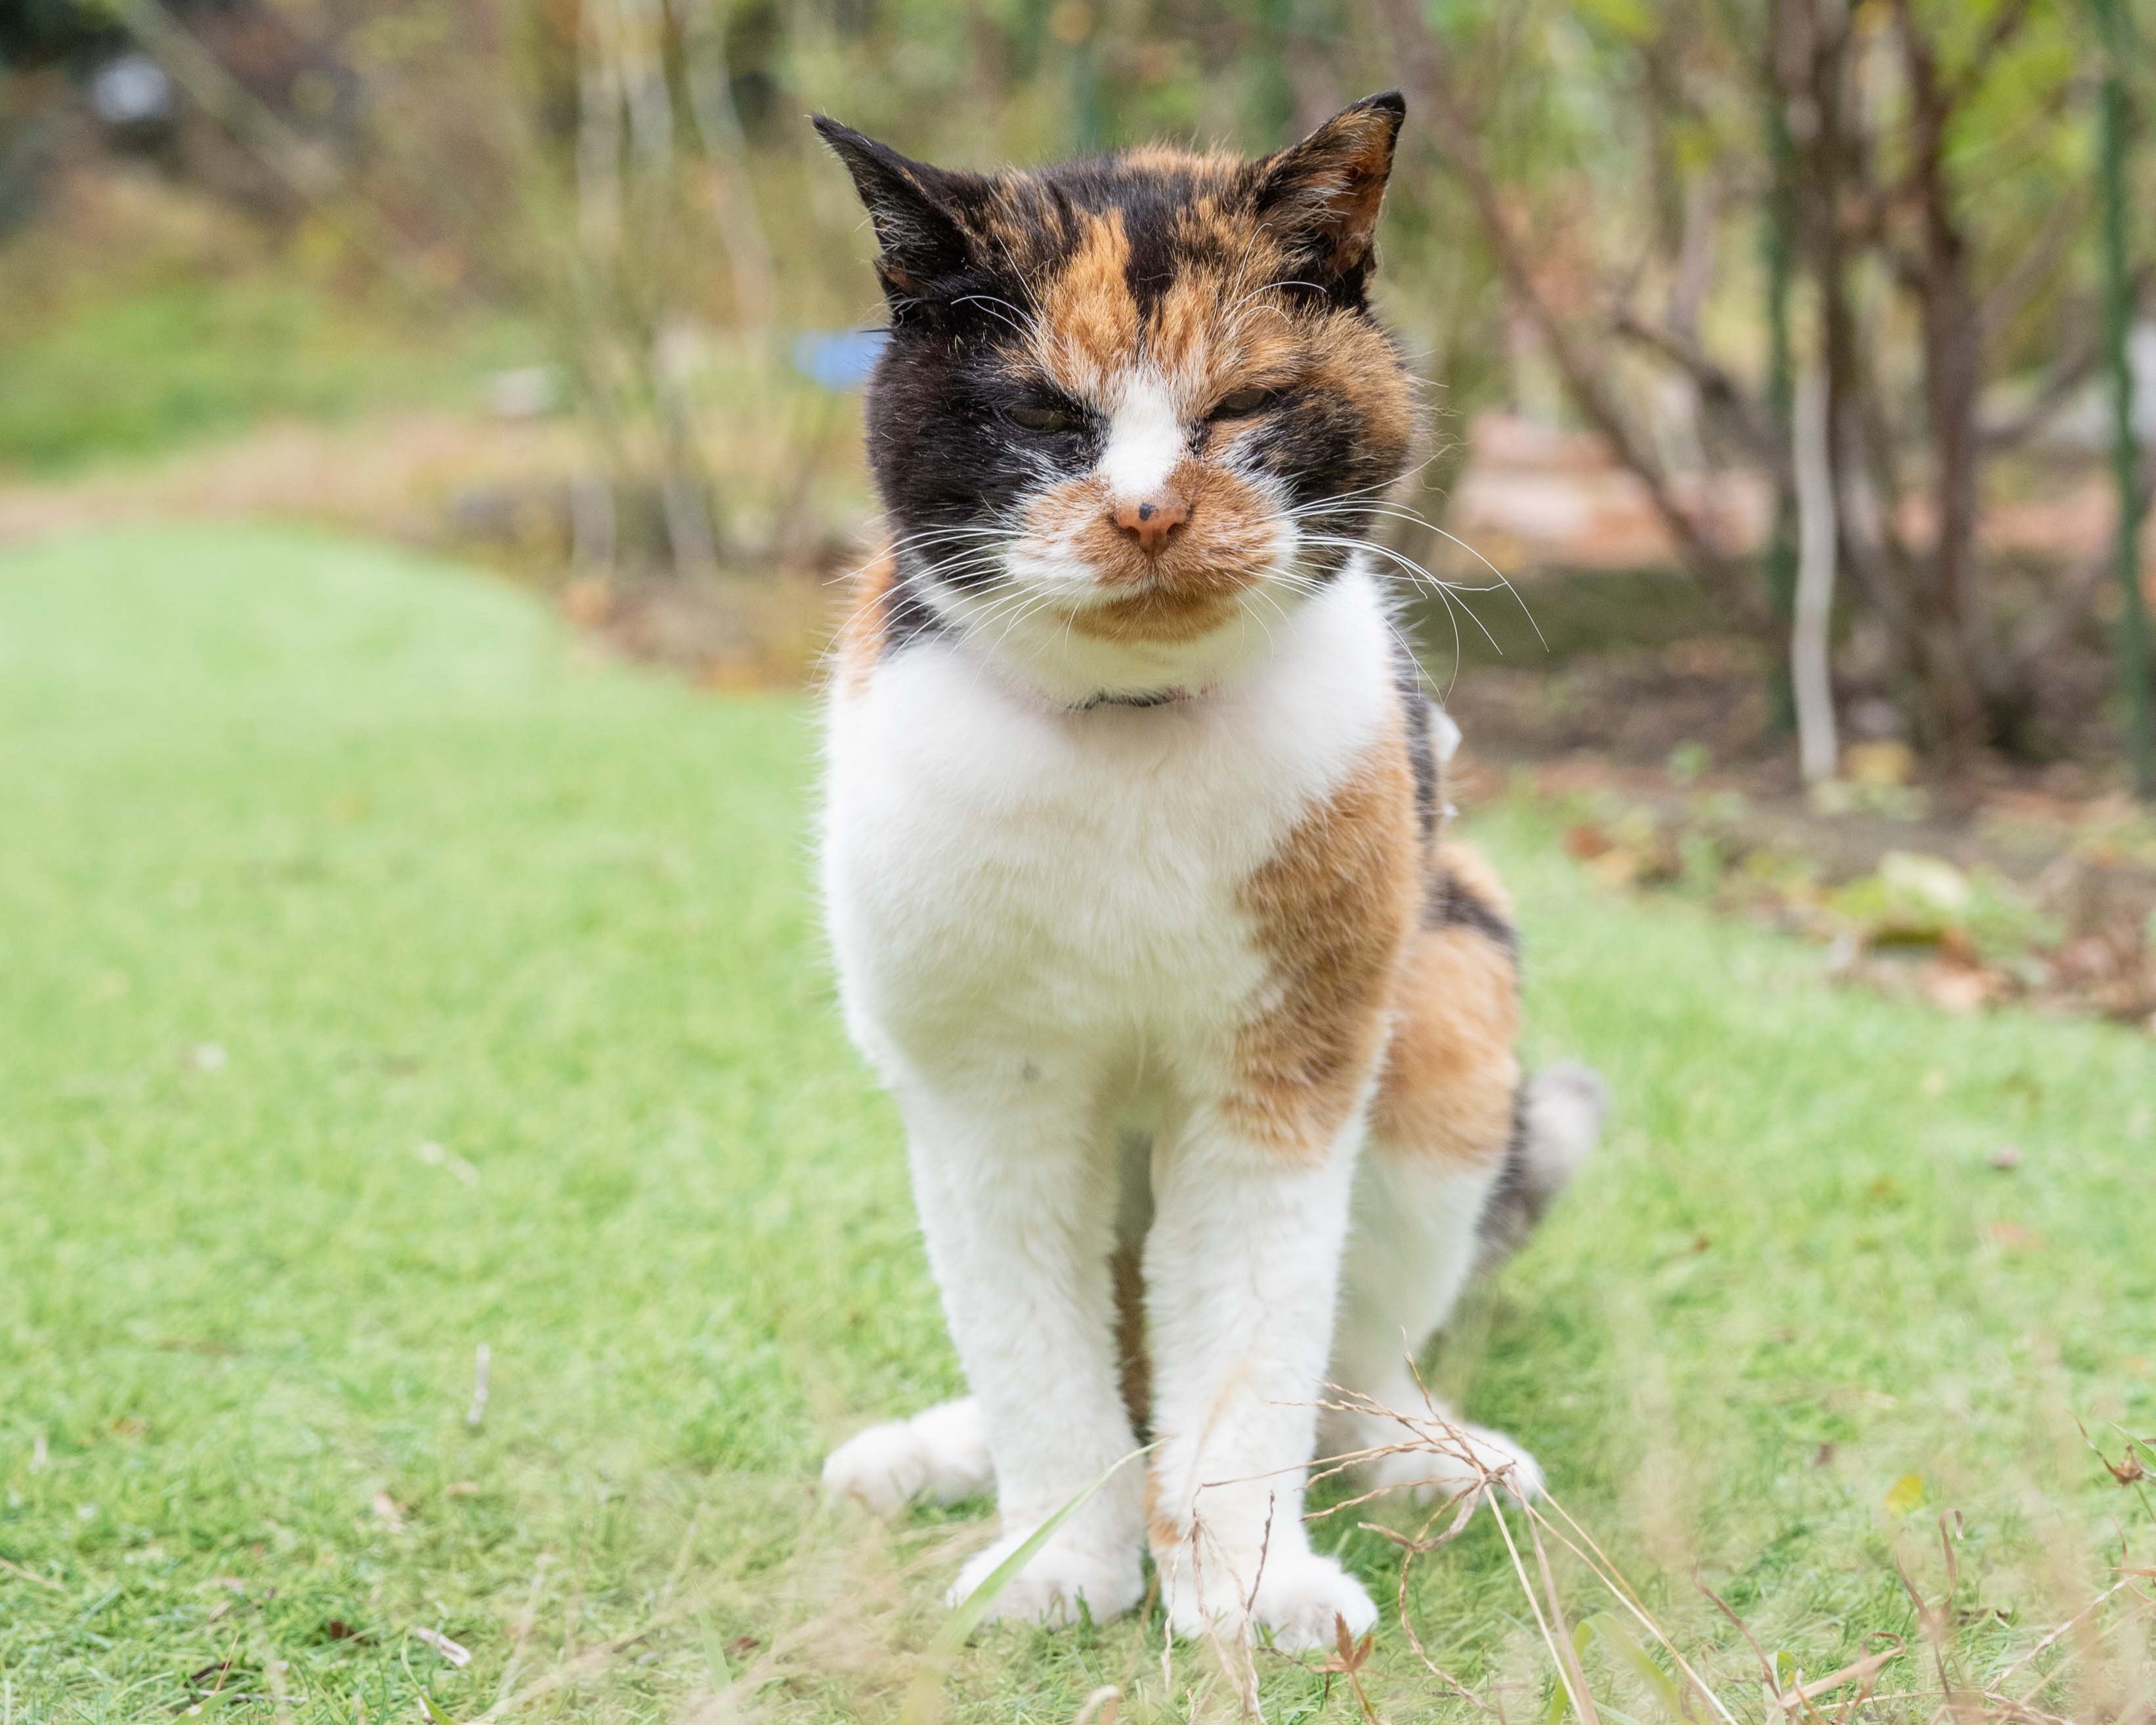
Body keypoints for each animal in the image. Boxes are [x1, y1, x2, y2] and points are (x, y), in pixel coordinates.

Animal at [811, 97, 1604, 1655]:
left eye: (1239, 408)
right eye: (1045, 417)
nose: (1144, 509)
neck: (1129, 733)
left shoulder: (1279, 1081)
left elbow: (1250, 1351)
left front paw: (1248, 1588)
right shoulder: (986, 1099)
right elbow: (1036, 1362)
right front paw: (1061, 1561)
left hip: (1452, 1005)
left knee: (1348, 1362)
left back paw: (1428, 1453)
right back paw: (945, 1453)